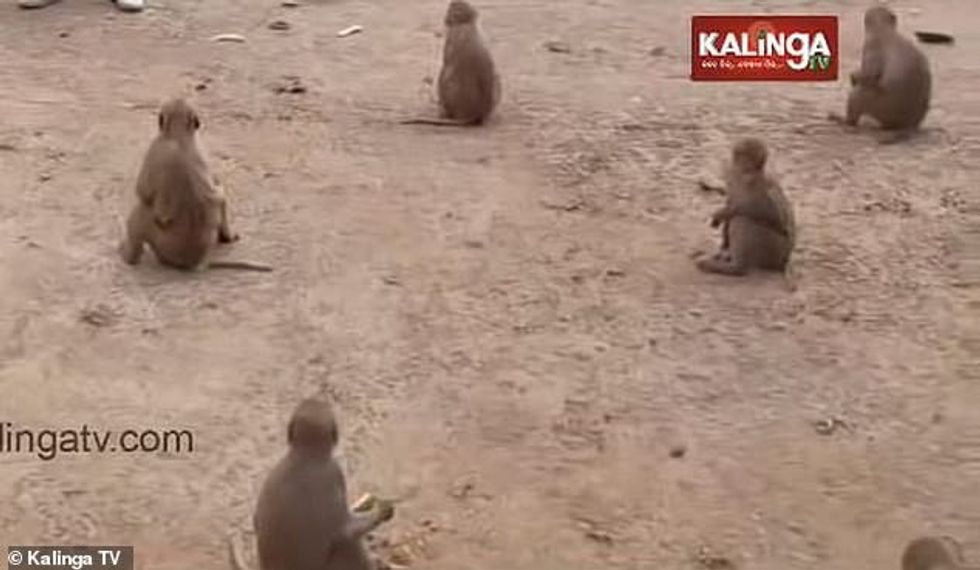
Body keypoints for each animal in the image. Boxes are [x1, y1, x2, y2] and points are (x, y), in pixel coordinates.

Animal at [119, 98, 272, 272]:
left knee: (142, 209)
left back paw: (129, 257)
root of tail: (196, 261)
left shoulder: (155, 147)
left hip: (161, 242)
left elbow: (143, 191)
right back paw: (227, 237)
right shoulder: (200, 149)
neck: (180, 136)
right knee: (221, 196)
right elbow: (217, 191)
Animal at [696, 138, 795, 276]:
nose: (752, 173)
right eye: (749, 164)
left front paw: (726, 212)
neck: (742, 177)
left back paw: (736, 267)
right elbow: (731, 200)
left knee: (743, 219)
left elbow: (773, 215)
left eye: (759, 164)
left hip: (771, 251)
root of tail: (782, 263)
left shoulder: (761, 186)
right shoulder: (732, 175)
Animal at [829, 4, 932, 144]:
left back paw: (845, 121)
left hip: (877, 103)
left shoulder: (871, 46)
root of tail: (909, 126)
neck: (884, 29)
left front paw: (854, 77)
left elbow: (869, 75)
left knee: (858, 94)